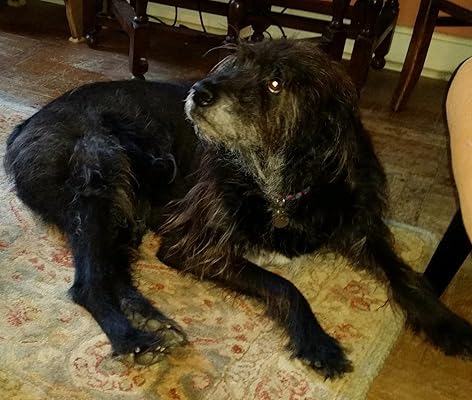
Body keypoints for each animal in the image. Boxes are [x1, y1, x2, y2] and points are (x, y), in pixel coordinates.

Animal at [4, 39, 472, 379]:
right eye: (235, 65)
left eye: (276, 84)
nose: (199, 92)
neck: (284, 181)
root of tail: (24, 125)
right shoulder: (194, 246)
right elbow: (284, 285)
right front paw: (316, 340)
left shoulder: (359, 225)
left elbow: (405, 275)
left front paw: (445, 323)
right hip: (100, 168)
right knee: (87, 283)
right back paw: (132, 338)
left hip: (123, 209)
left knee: (110, 268)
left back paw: (149, 317)